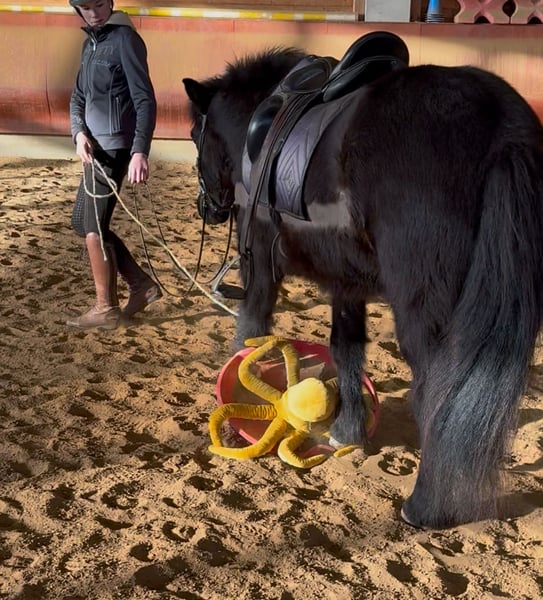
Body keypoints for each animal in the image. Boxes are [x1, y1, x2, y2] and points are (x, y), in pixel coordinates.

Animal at [182, 31, 543, 528]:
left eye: (195, 134)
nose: (209, 208)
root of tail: (501, 125)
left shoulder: (260, 266)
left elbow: (251, 329)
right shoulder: (347, 285)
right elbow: (346, 350)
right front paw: (349, 431)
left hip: (425, 313)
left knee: (438, 391)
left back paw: (426, 504)